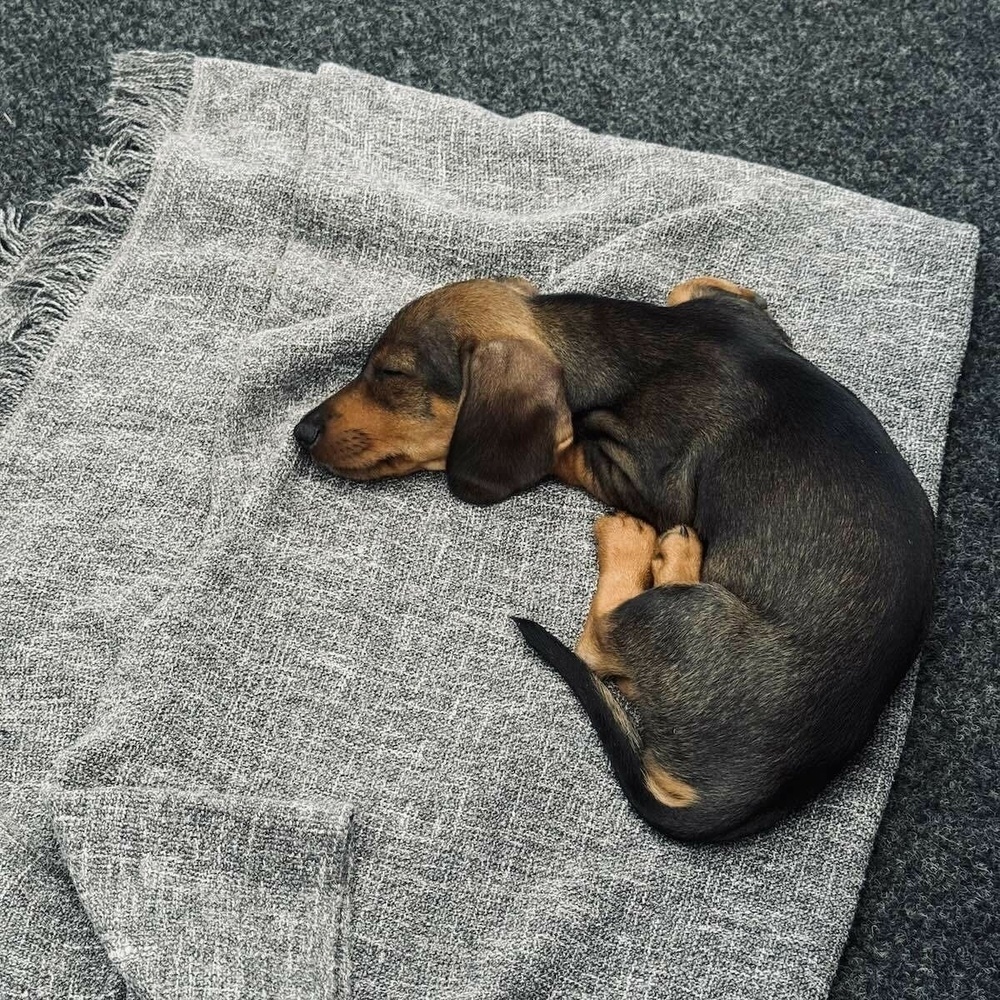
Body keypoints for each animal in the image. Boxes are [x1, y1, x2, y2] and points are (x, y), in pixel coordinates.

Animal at [292, 278, 932, 840]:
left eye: (391, 374)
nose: (301, 431)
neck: (637, 347)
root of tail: (755, 788)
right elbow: (697, 285)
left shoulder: (643, 479)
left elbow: (567, 445)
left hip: (683, 612)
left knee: (600, 640)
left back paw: (652, 547)